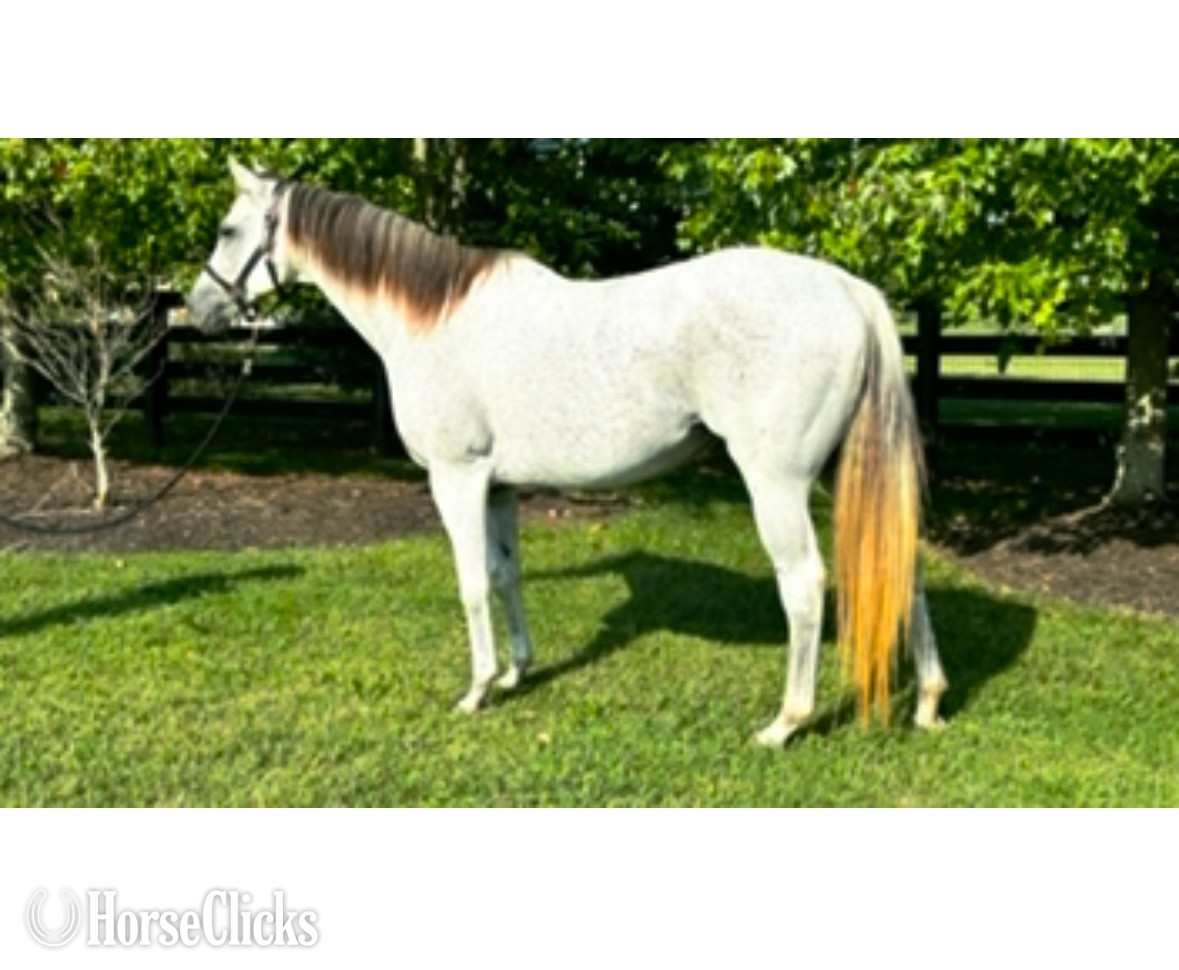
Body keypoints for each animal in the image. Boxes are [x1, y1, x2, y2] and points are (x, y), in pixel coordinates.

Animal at [187, 159, 948, 747]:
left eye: (227, 230)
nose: (197, 311)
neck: (433, 319)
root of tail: (848, 290)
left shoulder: (456, 479)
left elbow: (470, 583)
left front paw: (477, 690)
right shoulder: (497, 486)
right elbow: (505, 575)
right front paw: (517, 671)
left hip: (778, 483)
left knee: (805, 585)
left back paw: (785, 723)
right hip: (843, 471)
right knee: (900, 563)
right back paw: (929, 702)